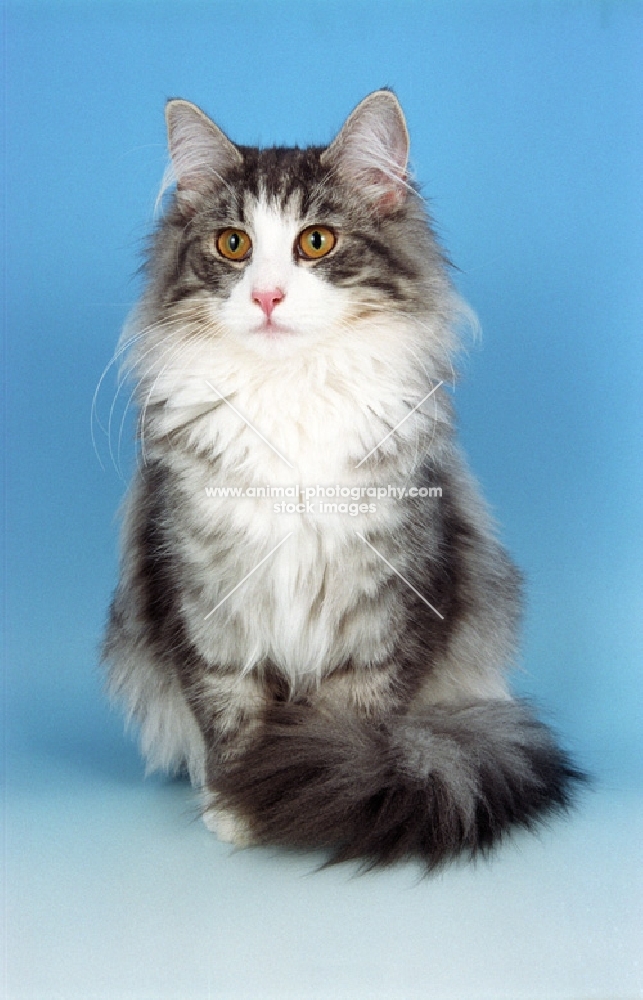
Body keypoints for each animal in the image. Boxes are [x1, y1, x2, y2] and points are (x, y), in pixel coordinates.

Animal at [103, 90, 588, 864]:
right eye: (233, 245)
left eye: (316, 243)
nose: (268, 297)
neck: (290, 398)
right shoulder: (201, 599)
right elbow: (230, 713)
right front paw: (239, 801)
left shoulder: (388, 605)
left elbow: (353, 717)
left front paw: (336, 785)